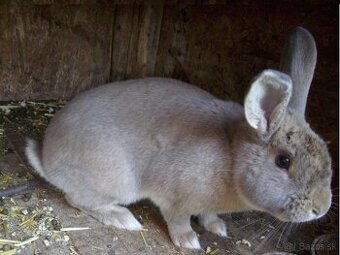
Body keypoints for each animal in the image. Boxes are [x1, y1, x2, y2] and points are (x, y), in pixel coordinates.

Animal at [25, 27, 332, 249]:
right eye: (283, 161)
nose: (321, 208)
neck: (232, 157)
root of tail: (46, 157)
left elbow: (208, 215)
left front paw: (217, 228)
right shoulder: (176, 200)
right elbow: (179, 220)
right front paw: (189, 242)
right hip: (116, 181)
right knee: (76, 199)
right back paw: (124, 219)